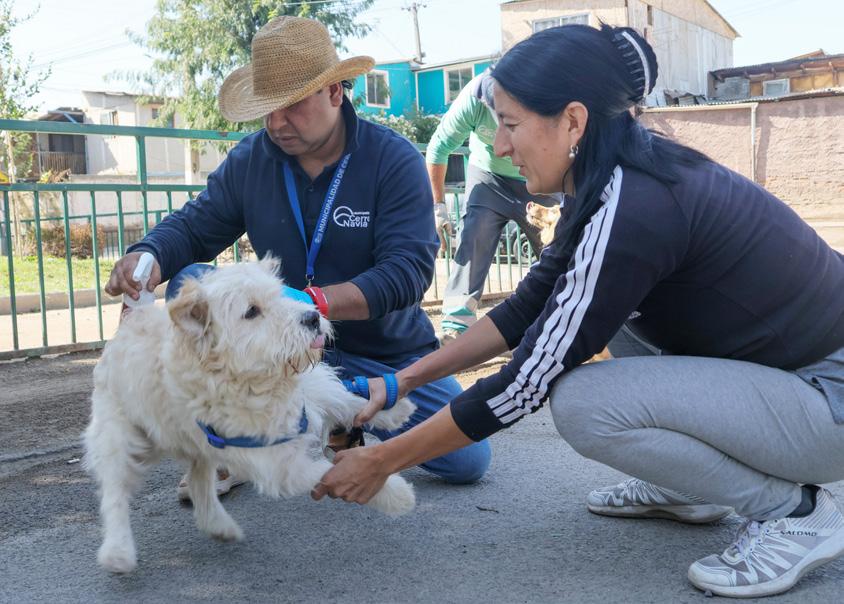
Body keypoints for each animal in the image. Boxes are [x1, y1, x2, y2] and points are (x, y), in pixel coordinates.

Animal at [84, 258, 416, 573]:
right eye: (252, 311)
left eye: (282, 294)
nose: (312, 317)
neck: (254, 381)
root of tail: (131, 319)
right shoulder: (278, 462)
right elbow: (328, 472)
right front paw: (396, 494)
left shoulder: (308, 391)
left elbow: (343, 399)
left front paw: (391, 407)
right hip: (121, 438)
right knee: (114, 491)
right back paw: (118, 551)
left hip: (198, 444)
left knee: (199, 481)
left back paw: (219, 526)